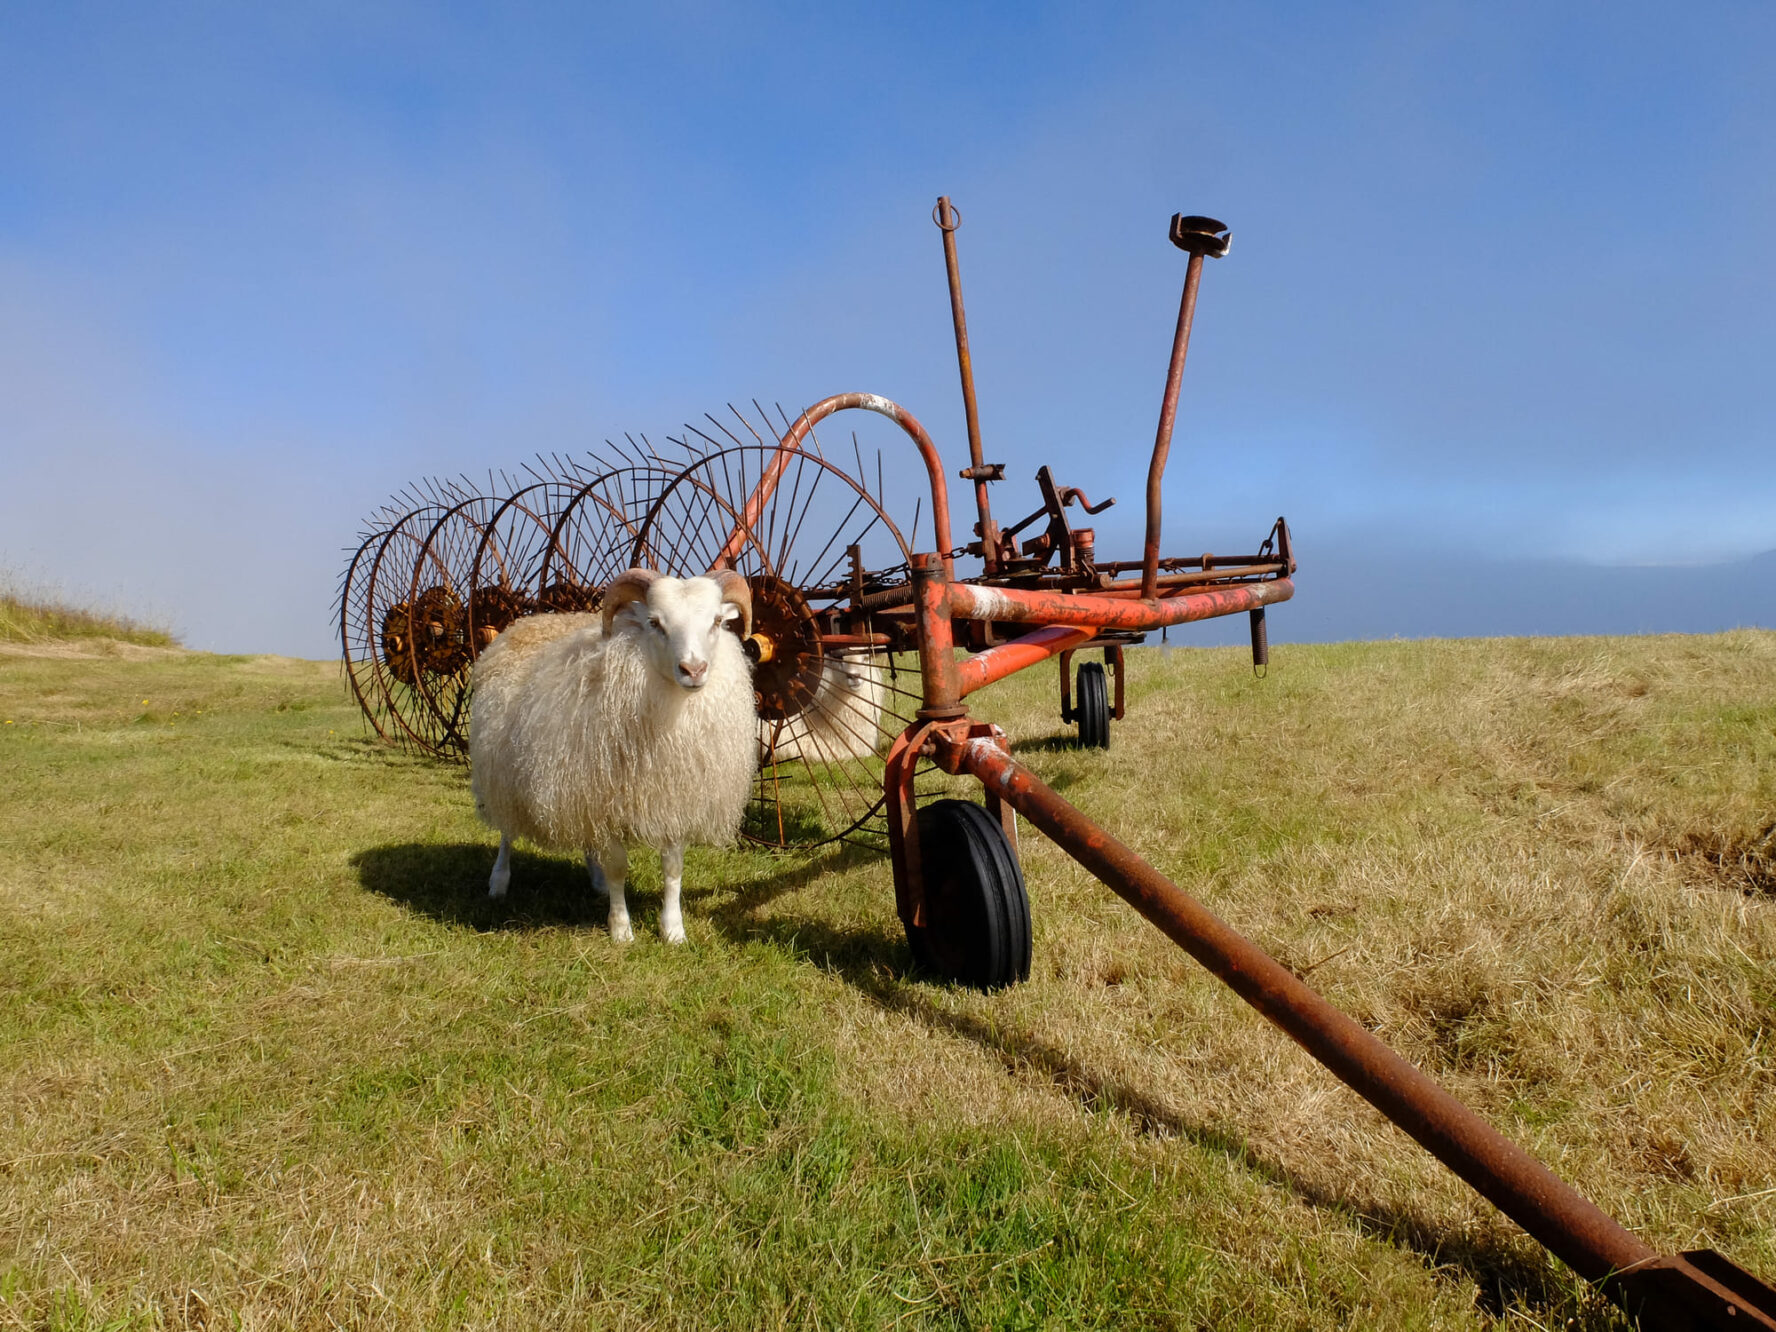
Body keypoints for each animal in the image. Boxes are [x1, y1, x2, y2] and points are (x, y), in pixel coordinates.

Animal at [469, 568, 756, 944]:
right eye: (654, 622)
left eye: (717, 621)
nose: (693, 670)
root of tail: (530, 621)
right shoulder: (603, 800)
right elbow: (618, 866)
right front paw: (621, 929)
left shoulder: (673, 798)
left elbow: (672, 868)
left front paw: (673, 930)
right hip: (503, 775)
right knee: (506, 832)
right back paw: (498, 882)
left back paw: (597, 881)